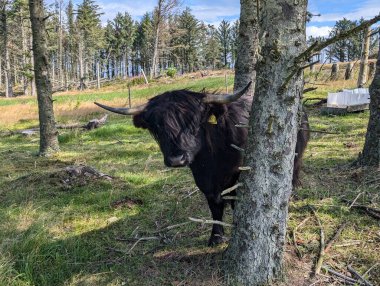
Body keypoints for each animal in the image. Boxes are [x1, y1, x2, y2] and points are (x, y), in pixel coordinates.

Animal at [95, 82, 308, 246]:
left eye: (194, 121)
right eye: (156, 126)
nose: (176, 159)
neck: (212, 160)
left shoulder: (238, 175)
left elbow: (235, 202)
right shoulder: (204, 181)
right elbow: (215, 207)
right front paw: (216, 237)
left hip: (296, 154)